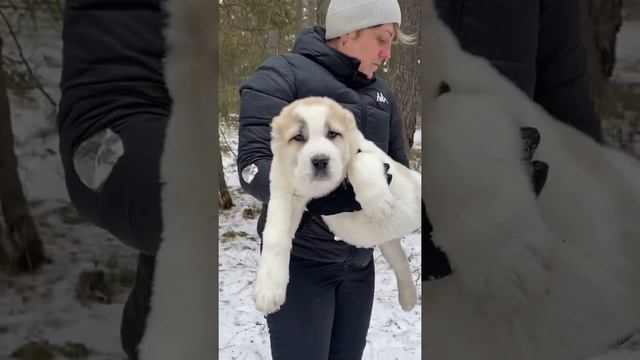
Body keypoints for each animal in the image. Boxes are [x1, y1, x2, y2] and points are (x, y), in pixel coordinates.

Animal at [252, 96, 422, 316]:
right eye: (298, 137)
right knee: (400, 260)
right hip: (388, 243)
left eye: (333, 134)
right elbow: (275, 236)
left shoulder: (370, 152)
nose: (320, 160)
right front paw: (268, 290)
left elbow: (358, 159)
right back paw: (408, 299)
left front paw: (378, 204)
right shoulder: (284, 191)